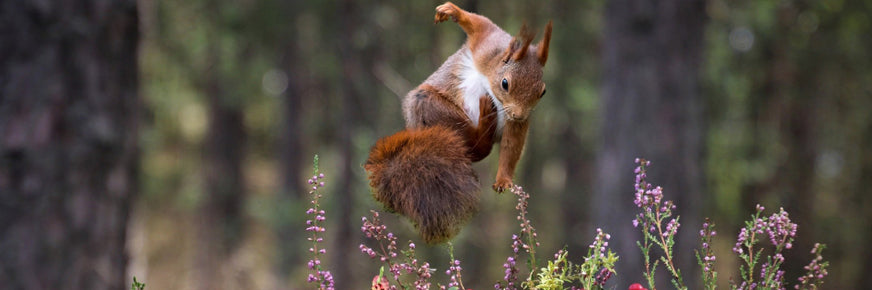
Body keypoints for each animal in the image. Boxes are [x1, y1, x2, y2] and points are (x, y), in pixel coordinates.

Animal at [362, 2, 552, 242]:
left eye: (542, 92)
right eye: (505, 83)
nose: (519, 115)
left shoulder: (514, 120)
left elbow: (512, 146)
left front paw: (503, 180)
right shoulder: (486, 46)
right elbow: (480, 24)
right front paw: (451, 11)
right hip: (431, 107)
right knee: (475, 147)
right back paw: (484, 120)